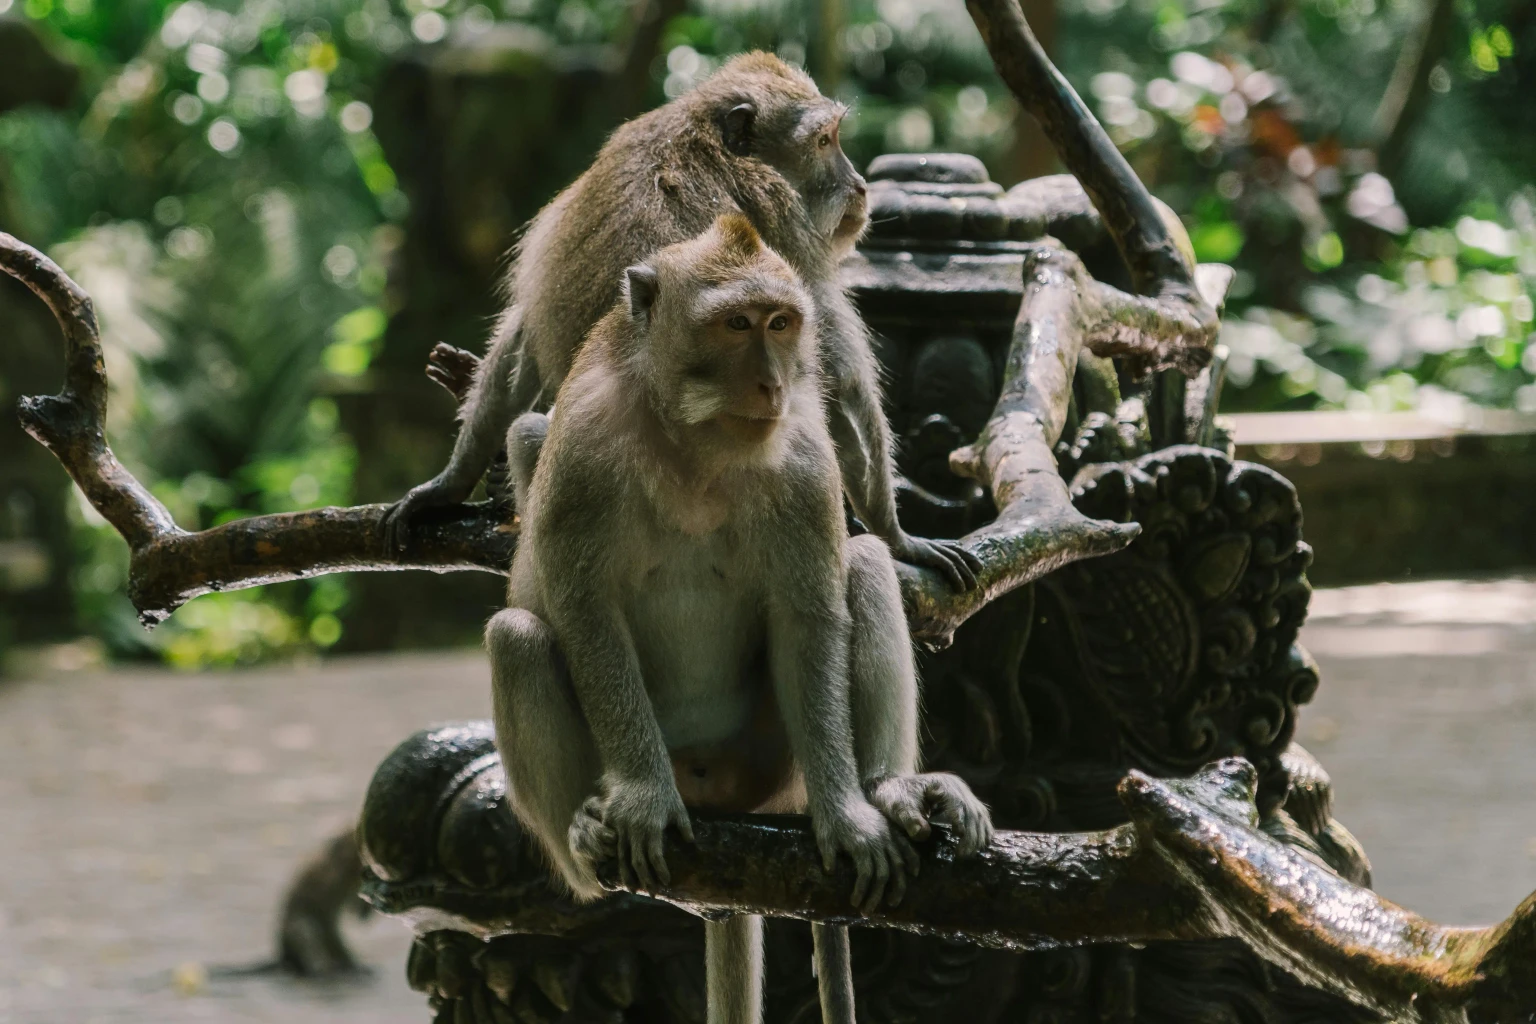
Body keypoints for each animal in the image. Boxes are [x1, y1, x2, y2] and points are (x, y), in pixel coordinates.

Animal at [382, 51, 982, 592]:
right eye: (823, 142)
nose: (859, 185)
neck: (700, 141)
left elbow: (522, 340)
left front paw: (447, 484)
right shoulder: (787, 234)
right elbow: (840, 382)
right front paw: (899, 537)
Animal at [486, 215, 993, 1024]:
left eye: (781, 323)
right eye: (734, 324)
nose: (772, 382)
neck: (696, 445)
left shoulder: (805, 462)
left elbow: (809, 616)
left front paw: (847, 815)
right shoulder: (583, 449)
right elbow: (584, 611)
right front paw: (641, 797)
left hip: (769, 762)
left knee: (863, 566)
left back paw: (890, 788)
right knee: (519, 641)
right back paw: (587, 836)